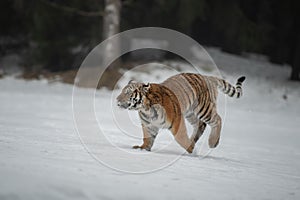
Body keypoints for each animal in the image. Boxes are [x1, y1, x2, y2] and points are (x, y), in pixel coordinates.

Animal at [116, 73, 245, 153]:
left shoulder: (176, 120)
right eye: (122, 91)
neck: (146, 109)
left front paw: (191, 150)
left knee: (217, 119)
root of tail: (207, 77)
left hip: (204, 109)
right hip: (190, 113)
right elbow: (147, 138)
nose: (117, 99)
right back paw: (193, 140)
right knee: (201, 125)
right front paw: (143, 148)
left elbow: (180, 137)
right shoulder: (149, 125)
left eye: (128, 93)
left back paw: (212, 142)